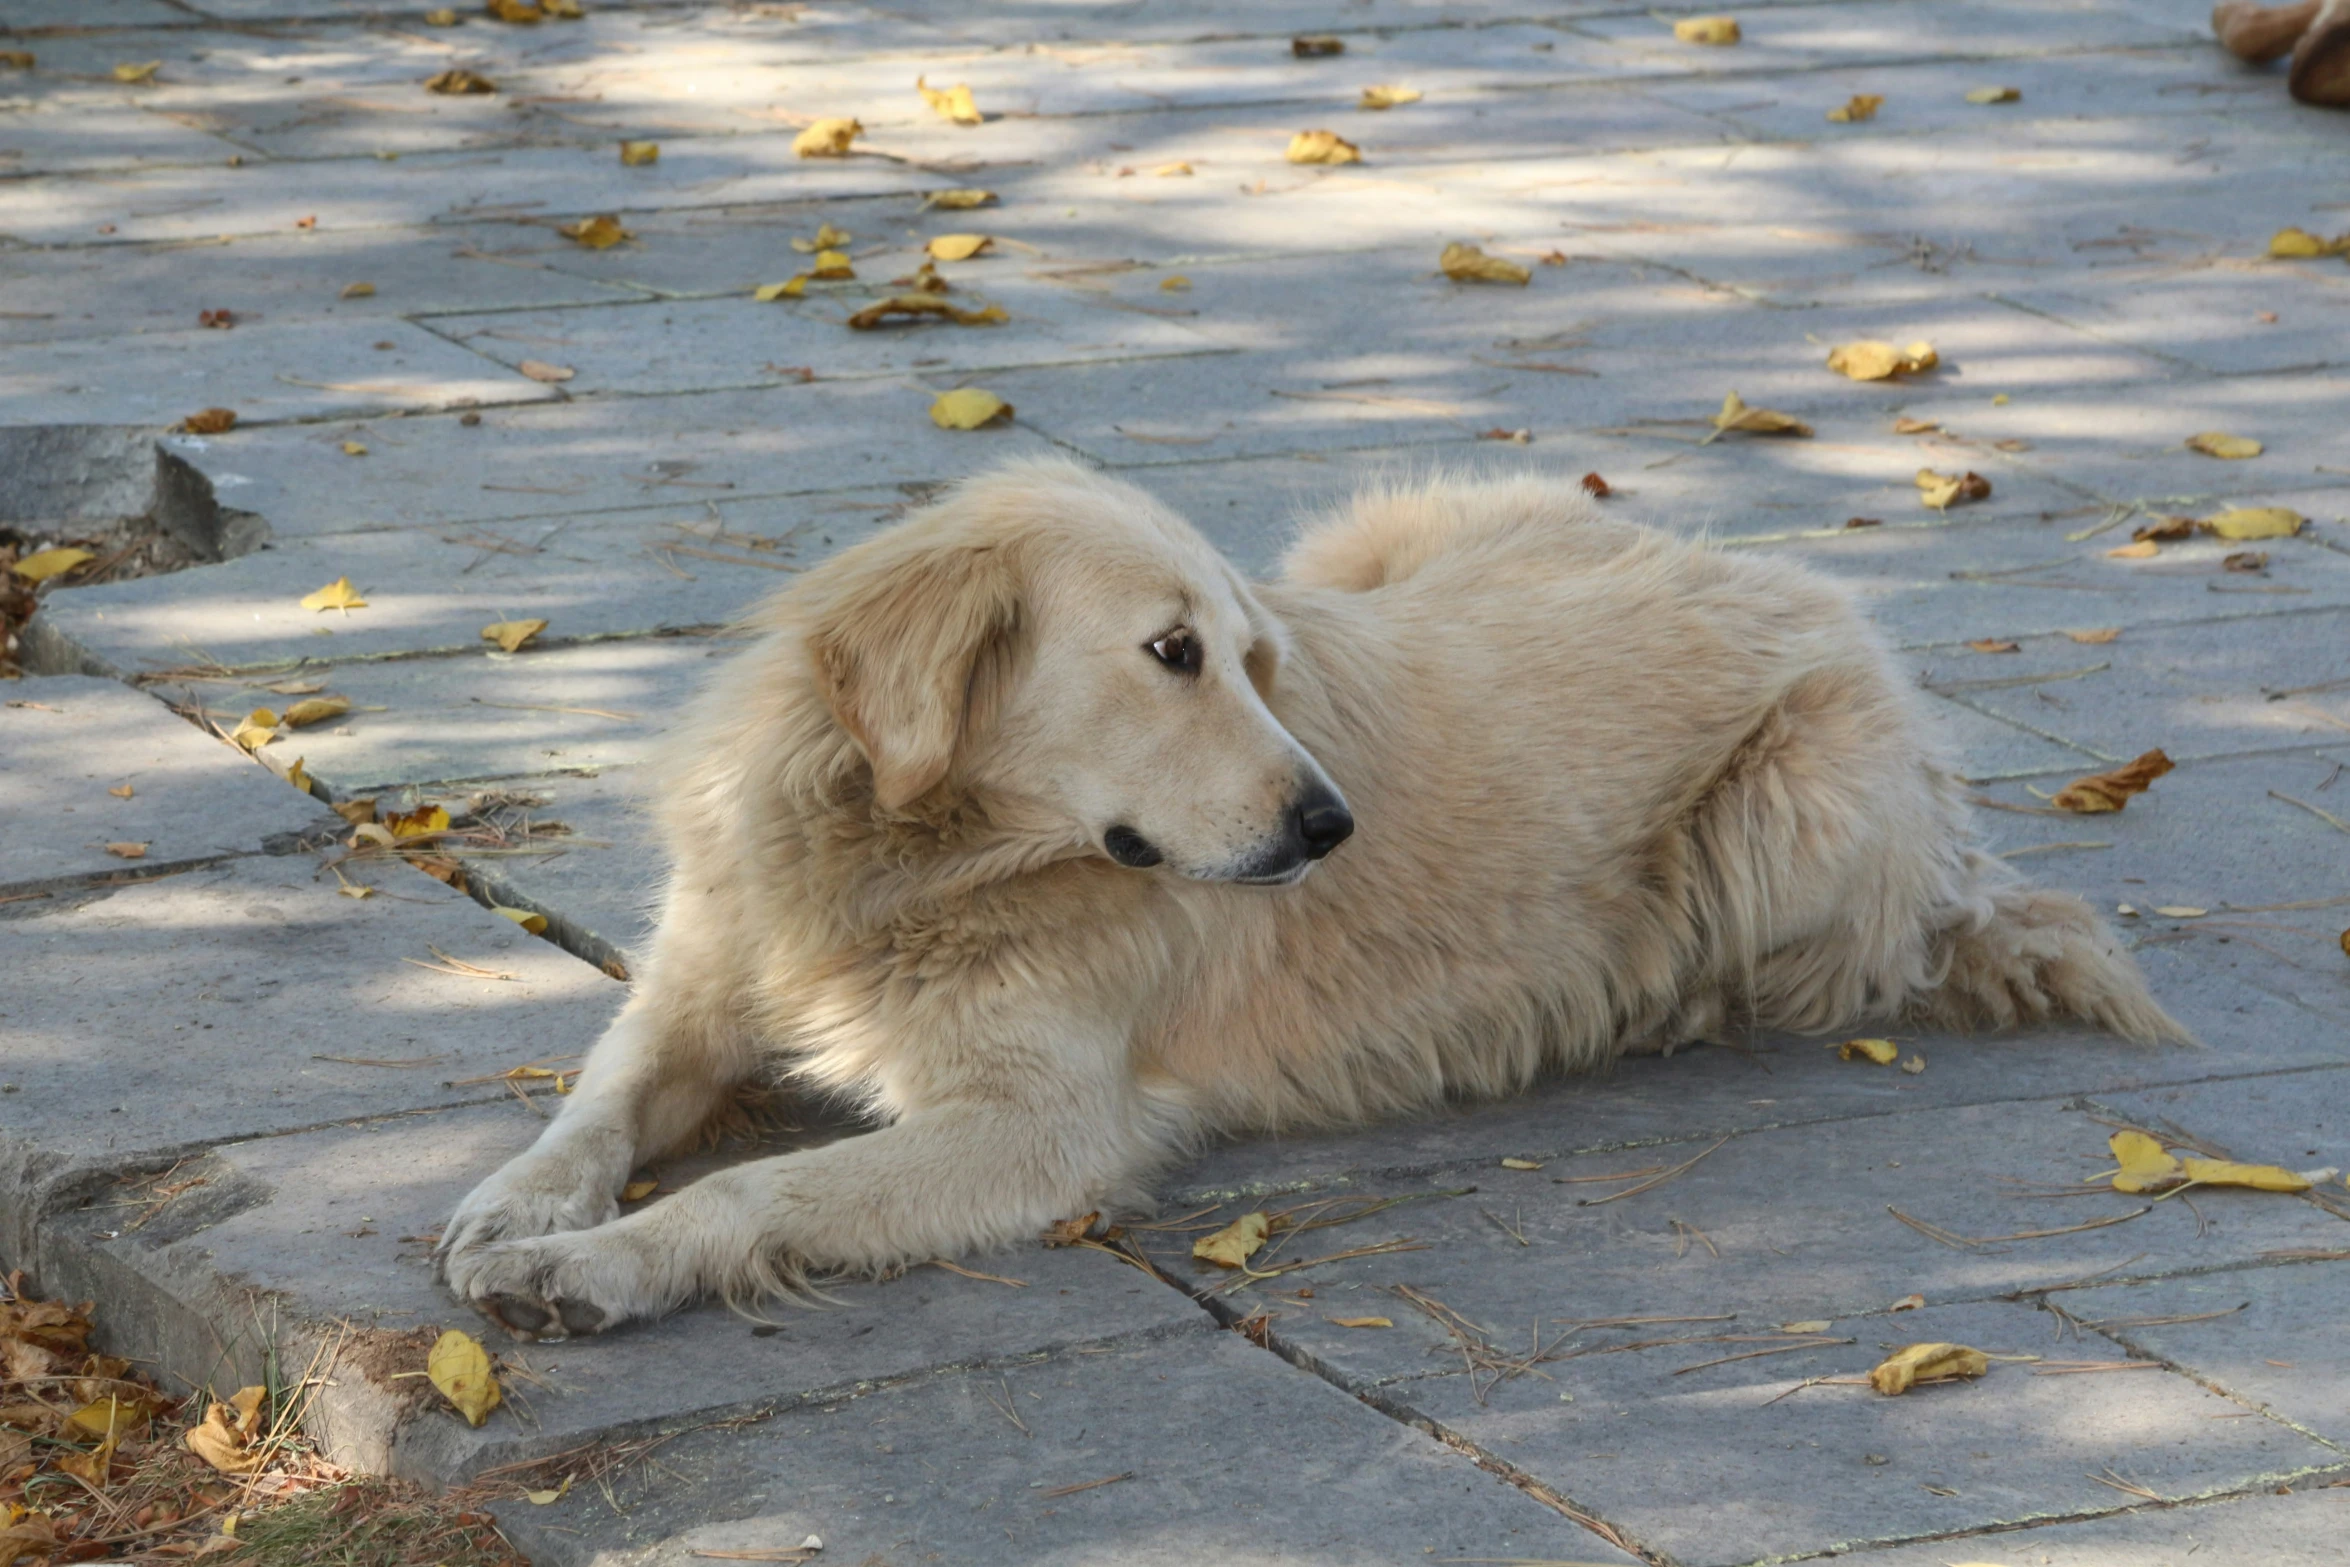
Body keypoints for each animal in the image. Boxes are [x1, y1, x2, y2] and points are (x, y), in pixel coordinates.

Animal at [441, 460, 2180, 1343]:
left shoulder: (1040, 1129)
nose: (1332, 822)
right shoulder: (698, 979)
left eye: (1247, 657)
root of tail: (1808, 579)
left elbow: (752, 1192)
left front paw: (598, 1264)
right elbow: (595, 1102)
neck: (910, 857)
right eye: (1170, 653)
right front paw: (524, 1206)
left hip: (1791, 806)